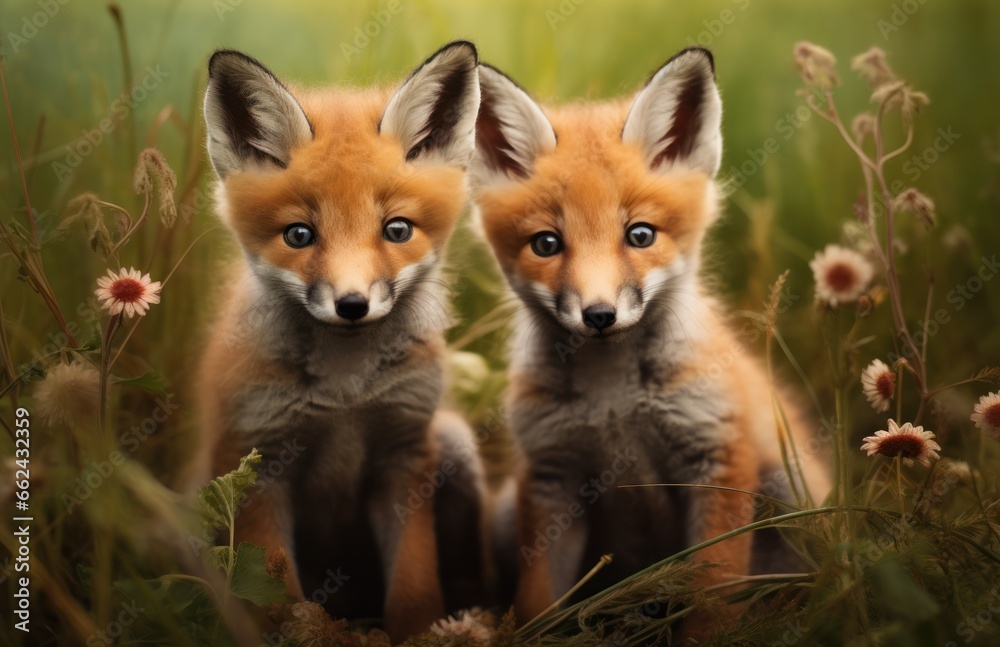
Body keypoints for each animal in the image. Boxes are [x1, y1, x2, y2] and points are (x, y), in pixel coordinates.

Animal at [191, 42, 487, 641]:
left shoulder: (405, 453)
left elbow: (414, 587)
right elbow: (278, 596)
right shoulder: (258, 462)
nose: (352, 305)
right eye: (299, 235)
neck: (345, 394)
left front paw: (420, 633)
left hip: (455, 444)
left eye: (397, 230)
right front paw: (297, 630)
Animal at [470, 48, 830, 637]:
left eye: (640, 235)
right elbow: (540, 601)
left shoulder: (716, 457)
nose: (599, 315)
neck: (614, 396)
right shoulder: (551, 474)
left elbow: (712, 595)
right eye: (546, 243)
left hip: (790, 490)